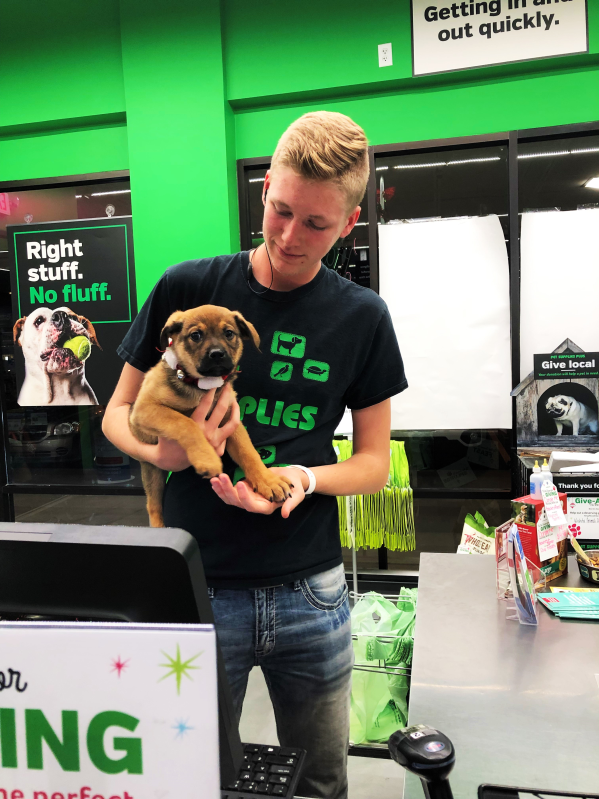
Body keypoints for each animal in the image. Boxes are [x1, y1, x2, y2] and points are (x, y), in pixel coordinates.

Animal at [129, 304, 294, 527]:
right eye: (195, 335)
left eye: (229, 333)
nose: (217, 354)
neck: (201, 386)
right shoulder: (146, 408)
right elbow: (186, 424)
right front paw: (207, 460)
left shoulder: (231, 422)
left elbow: (249, 453)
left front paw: (268, 481)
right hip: (152, 472)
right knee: (153, 507)